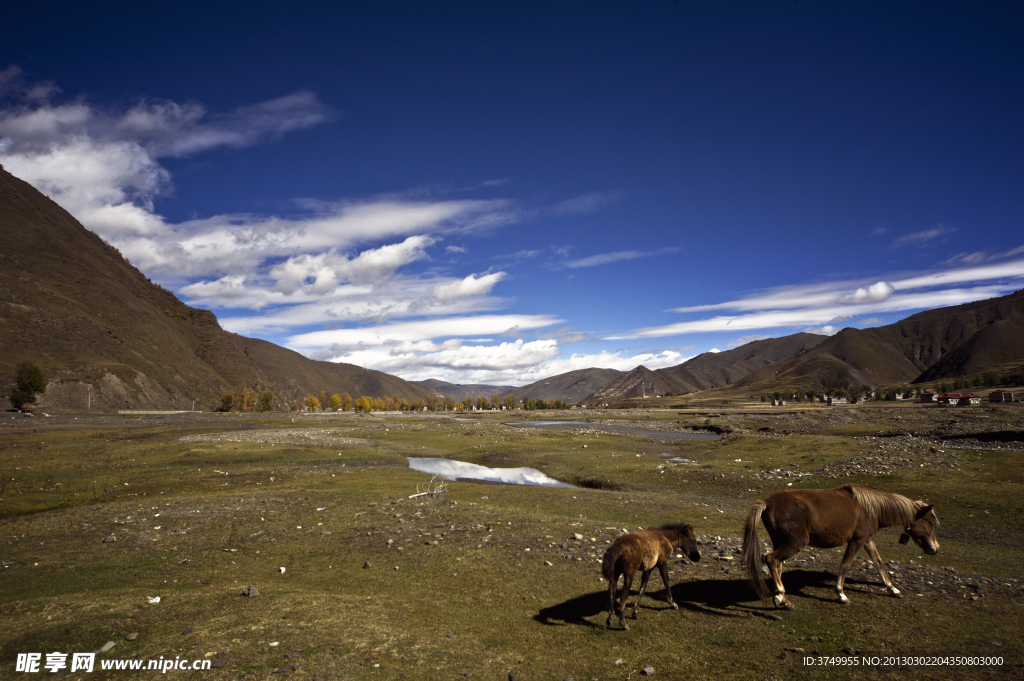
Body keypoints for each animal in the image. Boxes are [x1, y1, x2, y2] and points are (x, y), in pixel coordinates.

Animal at [745, 481, 937, 606]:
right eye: (930, 523)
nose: (935, 549)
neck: (871, 509)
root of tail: (767, 503)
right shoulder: (857, 540)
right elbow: (845, 565)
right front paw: (841, 594)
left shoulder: (867, 540)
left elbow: (879, 563)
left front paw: (892, 589)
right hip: (795, 543)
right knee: (771, 559)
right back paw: (780, 596)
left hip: (780, 542)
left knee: (778, 564)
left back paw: (781, 597)